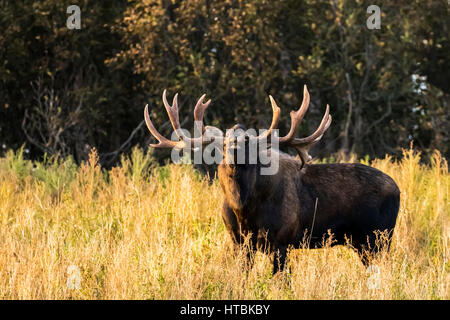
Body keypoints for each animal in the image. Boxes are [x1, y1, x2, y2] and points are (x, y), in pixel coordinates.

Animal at [144, 86, 400, 274]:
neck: (243, 209)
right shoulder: (239, 242)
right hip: (363, 242)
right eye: (224, 144)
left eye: (247, 142)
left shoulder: (280, 241)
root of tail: (398, 190)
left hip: (378, 238)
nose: (234, 152)